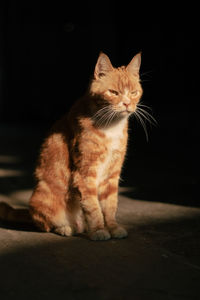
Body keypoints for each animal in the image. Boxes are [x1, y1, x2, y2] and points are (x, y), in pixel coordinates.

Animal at [0, 51, 144, 239]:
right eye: (113, 92)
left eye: (134, 92)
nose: (127, 103)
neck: (111, 126)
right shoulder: (85, 174)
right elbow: (93, 207)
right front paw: (99, 230)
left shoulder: (112, 173)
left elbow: (110, 205)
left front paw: (112, 227)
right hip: (43, 196)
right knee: (45, 223)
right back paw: (66, 228)